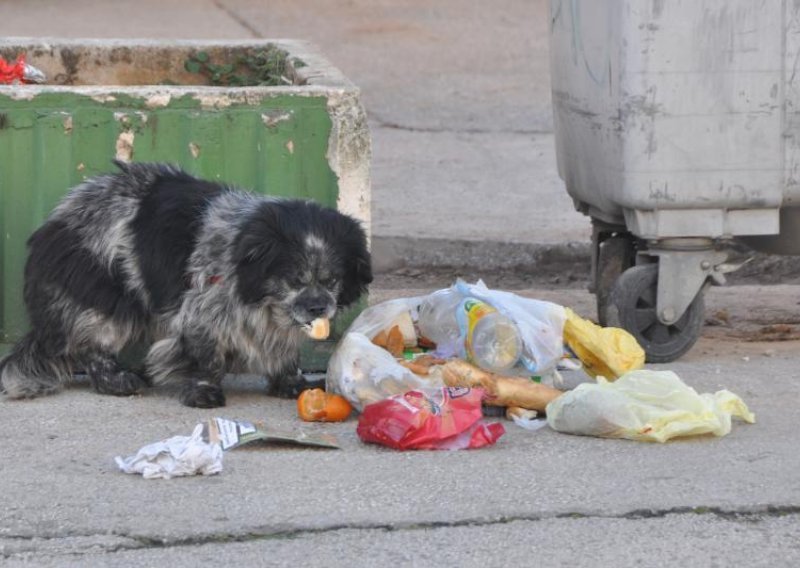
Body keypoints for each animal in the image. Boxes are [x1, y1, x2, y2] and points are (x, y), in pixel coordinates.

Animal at [0, 162, 374, 406]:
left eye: (332, 279)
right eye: (295, 278)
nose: (318, 306)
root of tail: (52, 228)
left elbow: (283, 352)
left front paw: (291, 382)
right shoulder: (202, 310)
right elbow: (205, 356)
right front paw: (203, 391)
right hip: (106, 298)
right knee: (91, 344)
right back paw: (116, 380)